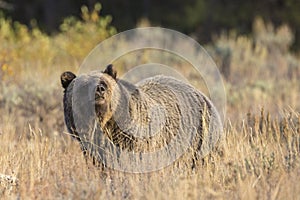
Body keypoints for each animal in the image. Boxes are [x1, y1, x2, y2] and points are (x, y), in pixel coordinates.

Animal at [60, 64, 223, 170]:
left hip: (202, 135)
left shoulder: (135, 140)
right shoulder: (91, 146)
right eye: (84, 86)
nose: (99, 90)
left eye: (104, 82)